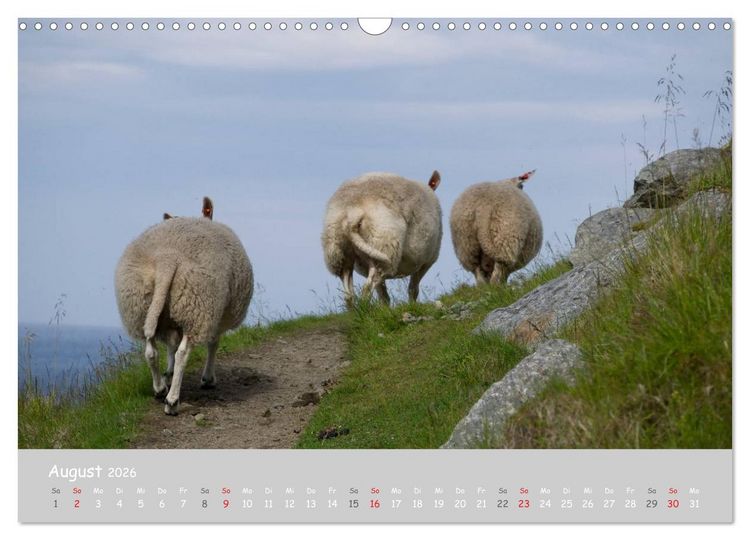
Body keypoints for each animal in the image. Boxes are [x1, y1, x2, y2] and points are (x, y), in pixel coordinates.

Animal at [115, 200, 253, 415]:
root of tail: (168, 258)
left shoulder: (172, 321)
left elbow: (170, 346)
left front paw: (168, 374)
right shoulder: (217, 315)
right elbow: (213, 344)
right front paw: (208, 378)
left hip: (143, 307)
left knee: (151, 351)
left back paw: (160, 388)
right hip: (197, 307)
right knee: (183, 353)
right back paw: (172, 400)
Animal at [322, 170, 442, 305]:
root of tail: (352, 214)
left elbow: (384, 295)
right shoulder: (427, 261)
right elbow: (413, 289)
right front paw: (412, 305)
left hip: (338, 251)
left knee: (348, 292)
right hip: (384, 245)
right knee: (368, 288)